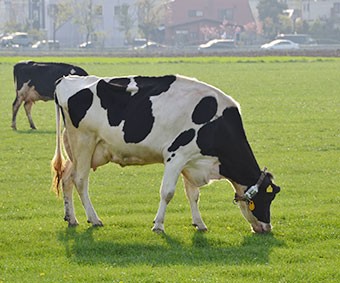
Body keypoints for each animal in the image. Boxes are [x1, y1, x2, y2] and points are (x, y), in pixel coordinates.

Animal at [52, 74, 282, 234]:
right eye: (267, 198)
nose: (267, 228)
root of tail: (66, 79)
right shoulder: (175, 156)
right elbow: (168, 192)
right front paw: (158, 225)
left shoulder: (191, 161)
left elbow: (193, 195)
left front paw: (199, 223)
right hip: (84, 142)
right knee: (80, 181)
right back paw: (94, 219)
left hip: (78, 149)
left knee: (66, 178)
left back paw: (71, 218)